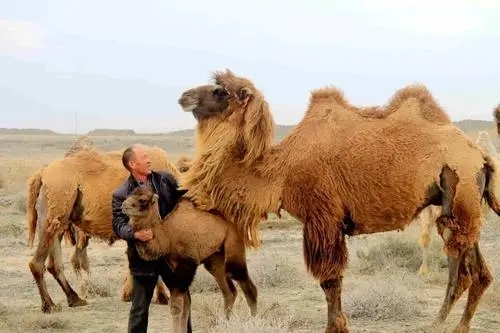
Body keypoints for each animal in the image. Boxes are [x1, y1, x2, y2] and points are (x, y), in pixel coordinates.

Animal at [121, 184, 258, 332]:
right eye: (128, 194)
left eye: (143, 200)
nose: (123, 205)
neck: (167, 237)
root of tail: (235, 224)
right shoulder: (171, 270)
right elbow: (185, 305)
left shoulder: (187, 265)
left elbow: (177, 306)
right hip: (215, 258)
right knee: (229, 291)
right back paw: (225, 324)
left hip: (233, 244)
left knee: (243, 281)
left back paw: (254, 321)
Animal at [175, 68, 500, 330]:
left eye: (220, 91)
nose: (183, 96)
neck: (280, 170)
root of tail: (481, 156)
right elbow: (333, 282)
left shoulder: (323, 218)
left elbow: (329, 281)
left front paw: (335, 327)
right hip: (457, 207)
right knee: (475, 269)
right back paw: (445, 323)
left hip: (460, 191)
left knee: (467, 270)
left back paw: (451, 326)